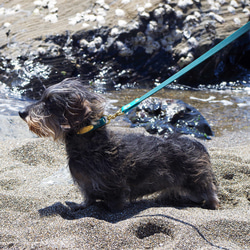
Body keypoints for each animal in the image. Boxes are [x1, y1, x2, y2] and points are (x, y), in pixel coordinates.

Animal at [19, 77, 219, 211]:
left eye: (50, 102)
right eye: (42, 98)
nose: (21, 113)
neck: (91, 145)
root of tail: (197, 144)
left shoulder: (115, 186)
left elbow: (115, 203)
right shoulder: (86, 184)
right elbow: (88, 198)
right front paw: (81, 206)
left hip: (196, 182)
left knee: (209, 192)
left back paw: (211, 204)